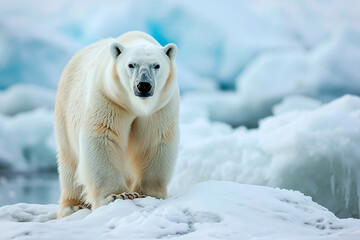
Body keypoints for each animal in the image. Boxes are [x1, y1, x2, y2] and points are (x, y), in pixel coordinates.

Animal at [55, 31, 180, 218]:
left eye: (156, 65)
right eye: (131, 65)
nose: (143, 85)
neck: (135, 105)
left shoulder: (160, 108)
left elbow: (155, 141)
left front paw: (148, 193)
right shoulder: (108, 98)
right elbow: (103, 138)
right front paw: (119, 195)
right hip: (65, 110)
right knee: (69, 162)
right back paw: (72, 207)